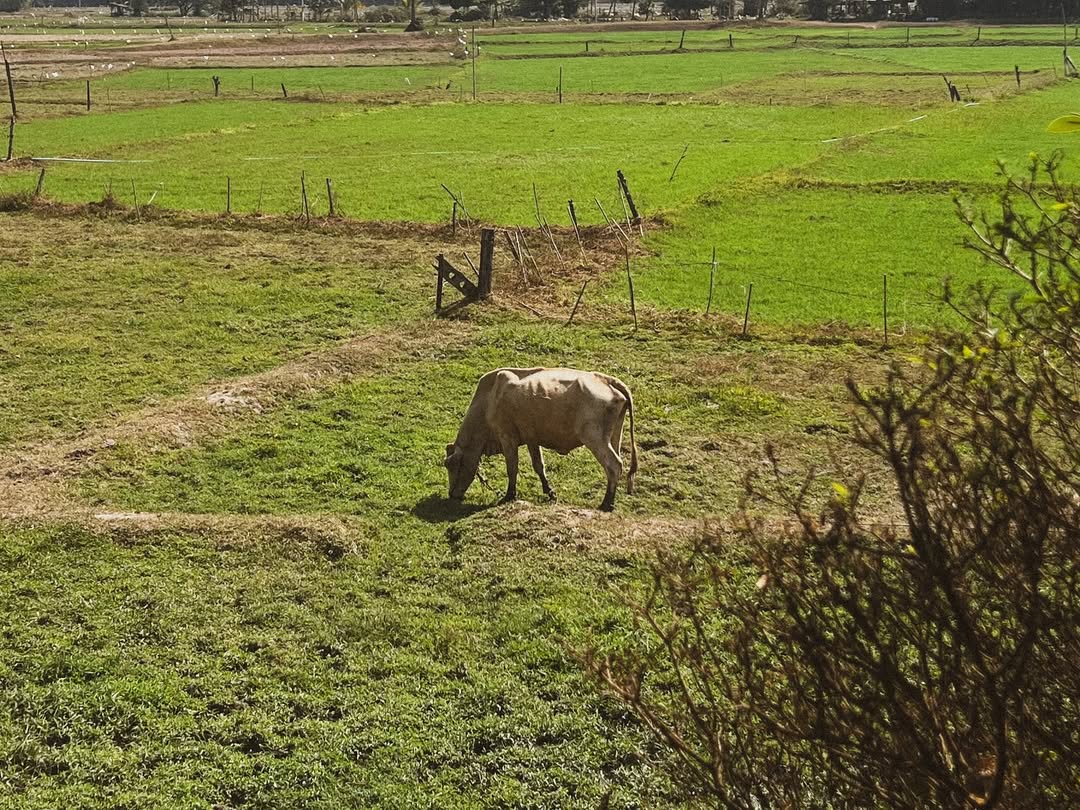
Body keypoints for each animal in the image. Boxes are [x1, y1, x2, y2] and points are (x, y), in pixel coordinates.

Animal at [442, 369, 635, 514]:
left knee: (614, 466)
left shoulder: (507, 437)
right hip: (614, 437)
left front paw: (509, 495)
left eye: (451, 464)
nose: (451, 494)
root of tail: (605, 379)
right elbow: (538, 466)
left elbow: (512, 468)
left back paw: (606, 504)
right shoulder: (531, 438)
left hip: (595, 438)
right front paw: (549, 492)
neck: (489, 400)